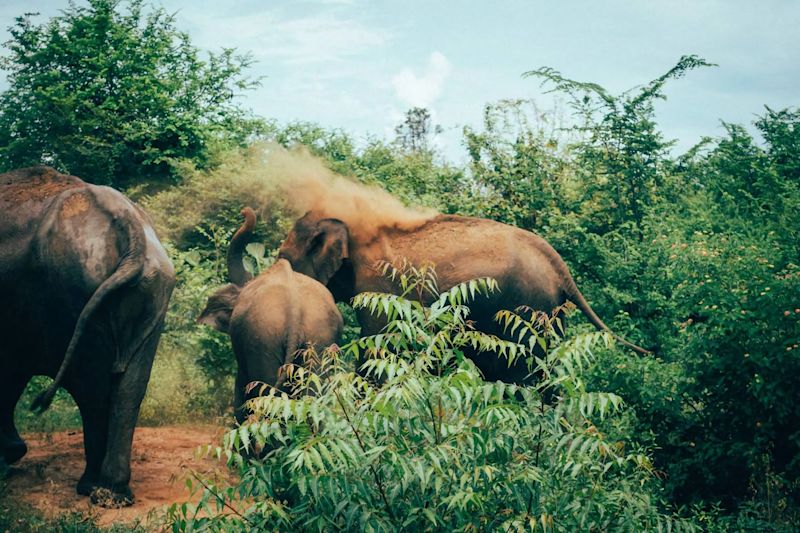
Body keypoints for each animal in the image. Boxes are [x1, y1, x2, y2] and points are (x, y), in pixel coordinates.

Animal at [0, 165, 175, 502]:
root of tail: (132, 229)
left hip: (74, 291)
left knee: (91, 387)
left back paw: (93, 488)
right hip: (153, 290)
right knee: (130, 386)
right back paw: (115, 492)